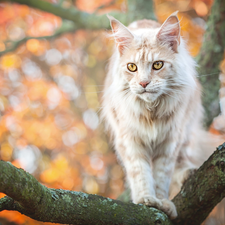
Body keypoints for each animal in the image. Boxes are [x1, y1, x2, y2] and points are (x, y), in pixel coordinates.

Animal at [102, 11, 225, 222]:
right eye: (132, 67)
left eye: (157, 65)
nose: (143, 83)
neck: (151, 112)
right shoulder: (129, 140)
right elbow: (140, 173)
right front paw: (146, 199)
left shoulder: (170, 140)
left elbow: (162, 175)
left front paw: (162, 201)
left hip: (187, 131)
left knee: (183, 160)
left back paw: (186, 173)